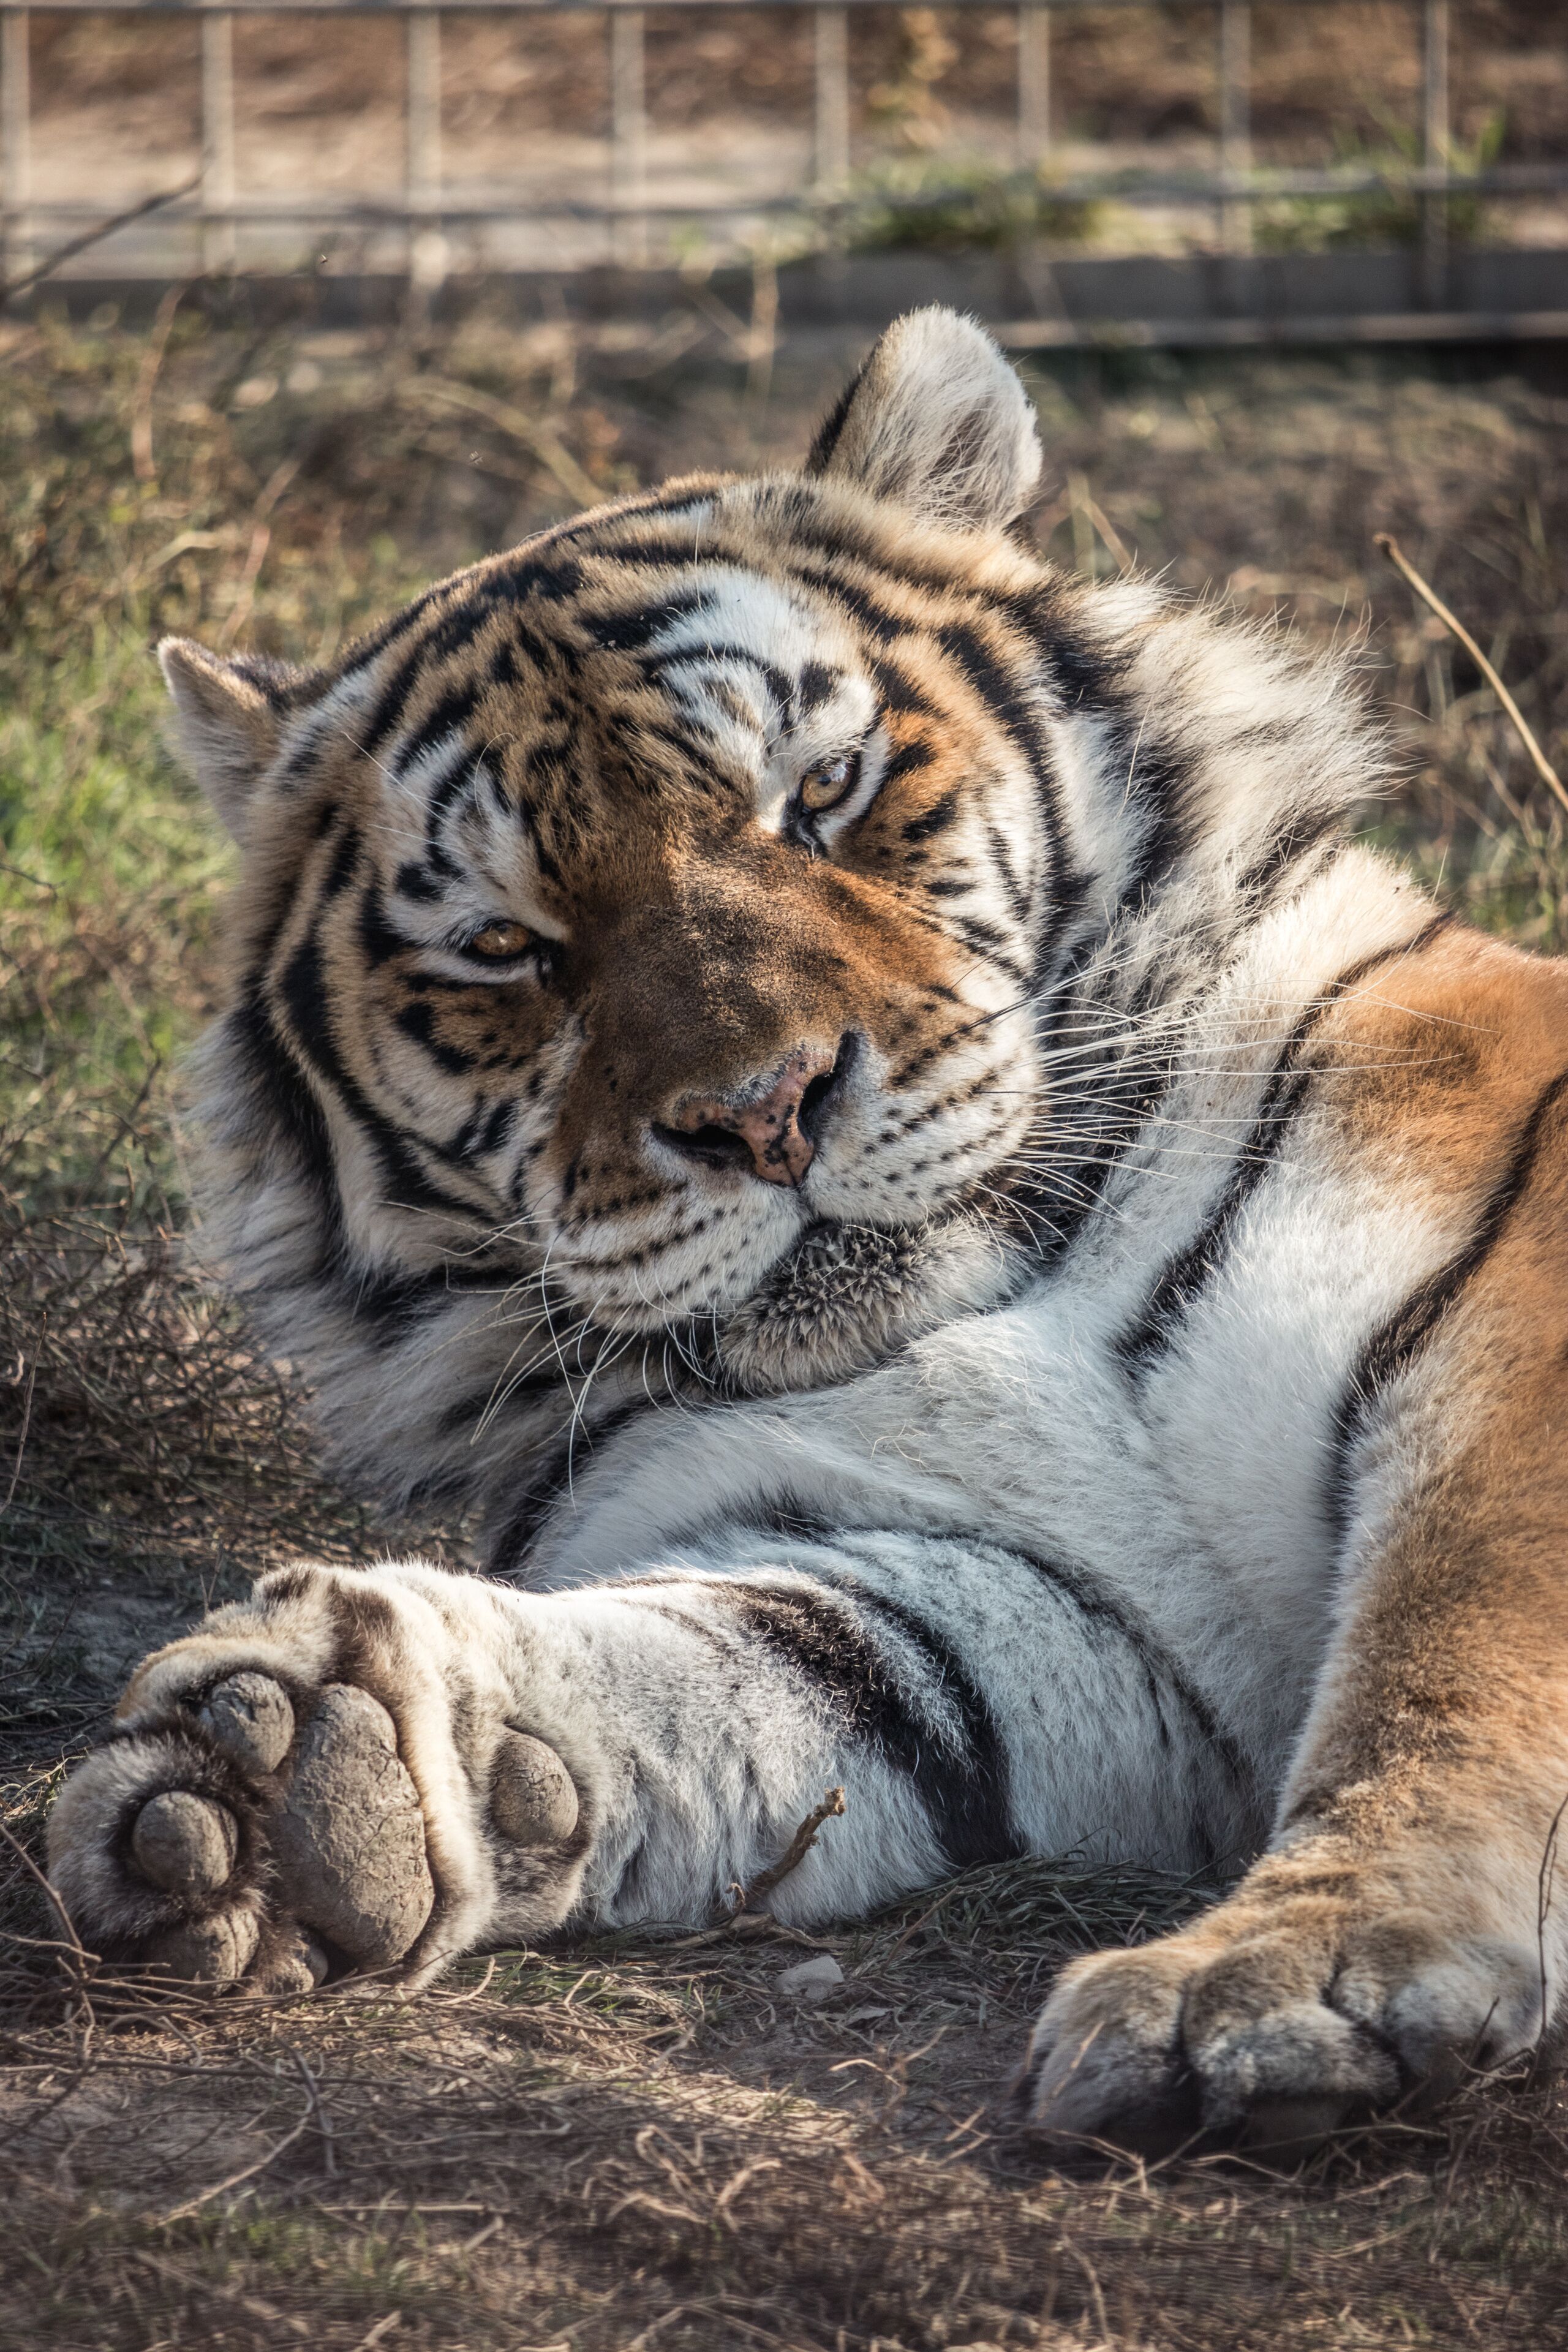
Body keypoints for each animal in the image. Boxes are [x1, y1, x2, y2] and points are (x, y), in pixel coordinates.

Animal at [47, 307, 1568, 2157]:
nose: (763, 1109)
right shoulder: (1031, 1593)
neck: (1001, 1281)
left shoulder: (1509, 1336)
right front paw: (297, 1777)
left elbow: (1449, 1666)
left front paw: (1290, 1981)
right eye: (505, 945)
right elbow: (756, 1664)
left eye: (824, 792)